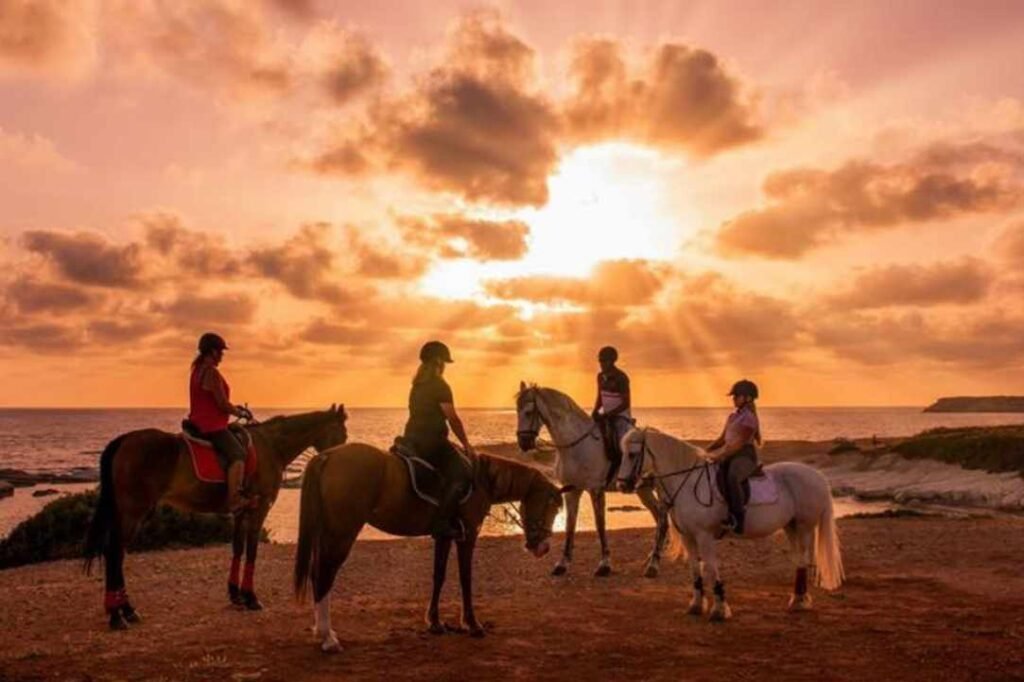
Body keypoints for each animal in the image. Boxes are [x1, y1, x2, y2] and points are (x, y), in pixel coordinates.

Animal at [83, 403, 348, 626]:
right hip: (133, 512)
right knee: (115, 553)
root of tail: (125, 440)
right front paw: (251, 597)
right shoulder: (258, 509)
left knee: (115, 553)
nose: (340, 460)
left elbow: (238, 549)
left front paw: (235, 594)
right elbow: (252, 551)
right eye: (342, 434)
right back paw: (118, 614)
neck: (271, 446)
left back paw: (124, 610)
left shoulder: (241, 512)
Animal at [292, 444, 565, 651]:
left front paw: (434, 622)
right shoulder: (467, 536)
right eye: (551, 506)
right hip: (342, 533)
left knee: (318, 574)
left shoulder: (444, 537)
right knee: (324, 576)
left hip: (328, 533)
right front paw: (472, 624)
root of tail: (328, 455)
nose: (543, 547)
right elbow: (466, 578)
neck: (482, 479)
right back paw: (327, 637)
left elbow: (439, 576)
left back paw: (322, 632)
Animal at [512, 382, 671, 573]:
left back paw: (654, 562)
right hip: (644, 490)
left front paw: (604, 564)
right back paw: (653, 556)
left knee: (662, 519)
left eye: (528, 412)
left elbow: (600, 525)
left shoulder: (596, 490)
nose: (523, 443)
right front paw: (562, 563)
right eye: (517, 410)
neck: (576, 446)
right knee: (658, 516)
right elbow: (570, 525)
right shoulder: (571, 491)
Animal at [618, 428, 843, 618]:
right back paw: (798, 600)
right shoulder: (688, 536)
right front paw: (696, 605)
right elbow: (694, 569)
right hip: (791, 526)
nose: (622, 485)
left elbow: (710, 568)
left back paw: (800, 602)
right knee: (799, 560)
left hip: (804, 527)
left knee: (803, 559)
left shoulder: (704, 536)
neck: (687, 484)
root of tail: (817, 476)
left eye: (632, 454)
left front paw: (719, 609)